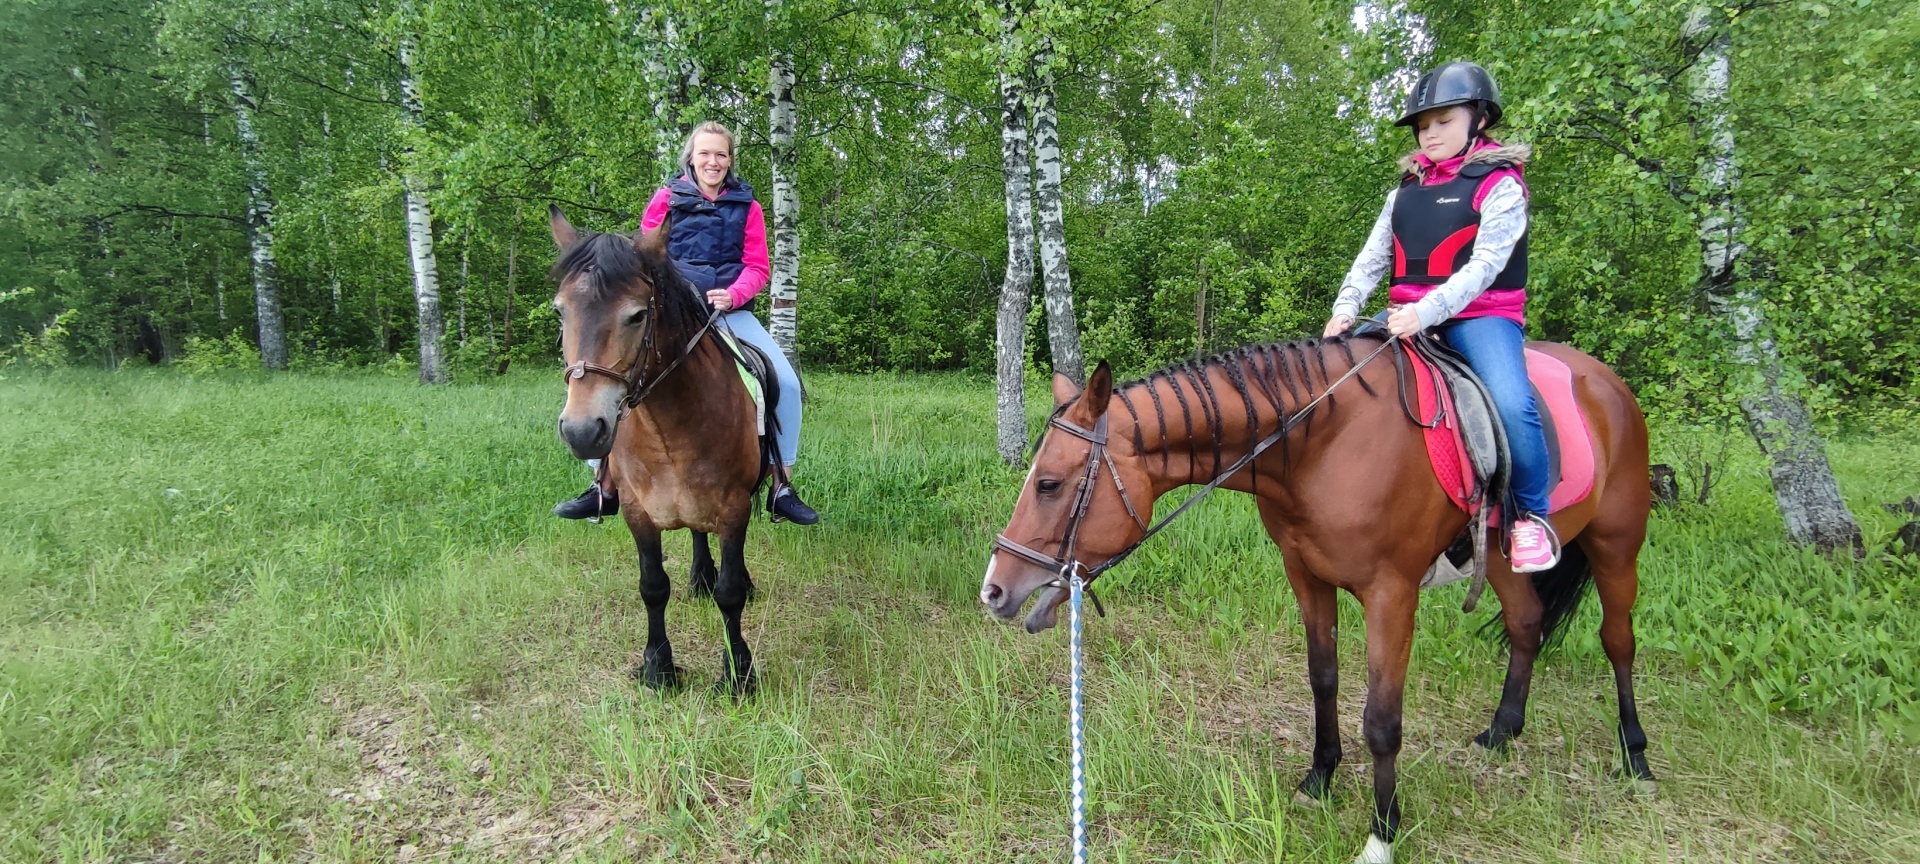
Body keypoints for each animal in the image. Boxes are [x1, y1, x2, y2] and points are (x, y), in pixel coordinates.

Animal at [549, 207, 756, 695]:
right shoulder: (636, 511)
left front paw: (737, 673)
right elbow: (653, 586)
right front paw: (658, 666)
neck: (670, 432)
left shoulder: (735, 507)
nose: (582, 431)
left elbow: (731, 593)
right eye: (559, 311)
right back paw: (700, 576)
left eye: (637, 315)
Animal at [983, 336, 1658, 864]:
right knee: (1526, 622)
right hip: (1498, 555)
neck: (1322, 444)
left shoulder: (1392, 594)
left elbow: (1382, 721)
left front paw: (1382, 833)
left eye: (1049, 484)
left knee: (1618, 641)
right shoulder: (1306, 576)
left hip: (1617, 546)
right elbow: (1323, 678)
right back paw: (1503, 729)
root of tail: (1607, 382)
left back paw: (1636, 757)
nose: (994, 588)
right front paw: (1320, 777)